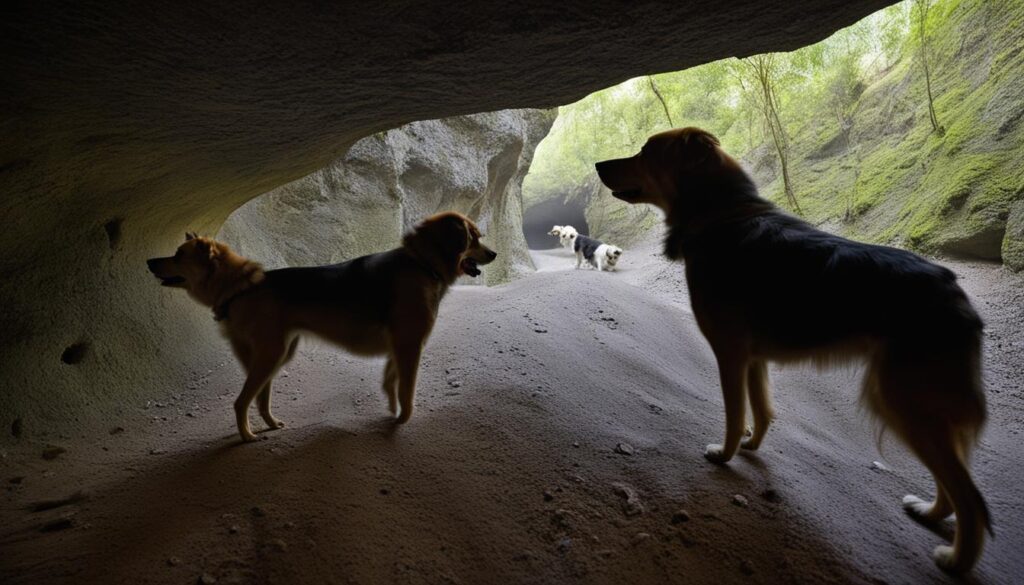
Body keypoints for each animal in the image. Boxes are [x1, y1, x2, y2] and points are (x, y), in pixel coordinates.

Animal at [147, 213, 495, 442]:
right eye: (475, 237)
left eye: (178, 255)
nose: (493, 253)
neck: (421, 262)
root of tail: (246, 286)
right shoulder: (410, 345)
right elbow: (406, 393)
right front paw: (401, 420)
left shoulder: (399, 348)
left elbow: (391, 383)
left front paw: (391, 410)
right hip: (272, 355)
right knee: (242, 401)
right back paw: (247, 436)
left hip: (276, 355)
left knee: (259, 399)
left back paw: (270, 425)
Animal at [598, 127, 987, 573]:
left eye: (646, 151)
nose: (597, 165)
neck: (721, 214)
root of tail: (956, 295)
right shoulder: (753, 359)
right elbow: (762, 411)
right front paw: (750, 448)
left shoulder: (729, 353)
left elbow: (735, 415)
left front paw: (725, 455)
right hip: (915, 406)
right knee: (953, 484)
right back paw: (929, 513)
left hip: (900, 400)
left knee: (972, 500)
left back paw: (955, 561)